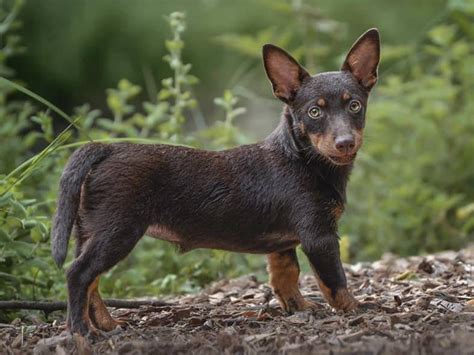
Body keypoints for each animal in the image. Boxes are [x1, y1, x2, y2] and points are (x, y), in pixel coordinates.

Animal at [50, 28, 380, 336]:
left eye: (354, 106)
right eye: (314, 112)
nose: (345, 143)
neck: (303, 159)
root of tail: (106, 148)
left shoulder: (283, 244)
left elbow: (285, 277)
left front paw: (298, 307)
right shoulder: (319, 236)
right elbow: (335, 281)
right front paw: (356, 308)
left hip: (89, 230)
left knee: (91, 281)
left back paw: (104, 324)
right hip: (118, 230)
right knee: (78, 274)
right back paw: (81, 332)